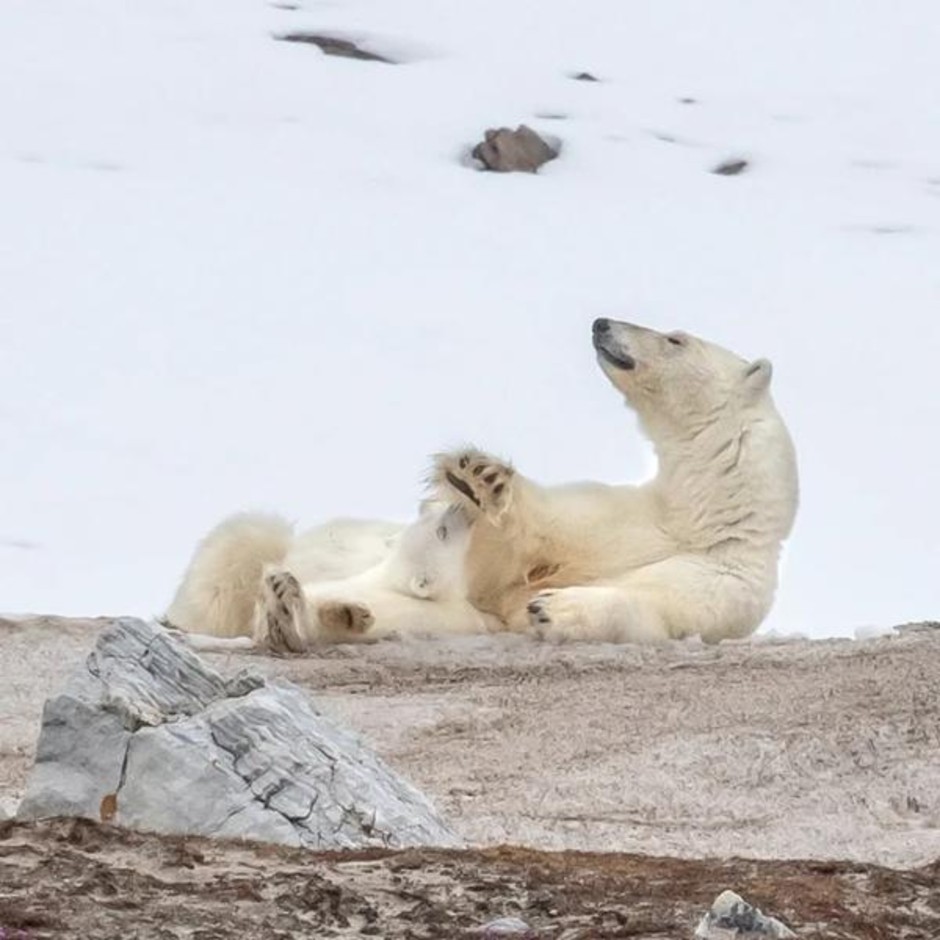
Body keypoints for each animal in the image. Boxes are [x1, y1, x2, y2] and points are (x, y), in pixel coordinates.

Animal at [162, 316, 792, 648]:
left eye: (675, 338)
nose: (602, 323)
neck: (696, 511)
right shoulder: (614, 516)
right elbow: (517, 539)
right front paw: (479, 477)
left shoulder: (726, 577)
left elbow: (658, 610)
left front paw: (555, 609)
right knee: (241, 542)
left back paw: (306, 616)